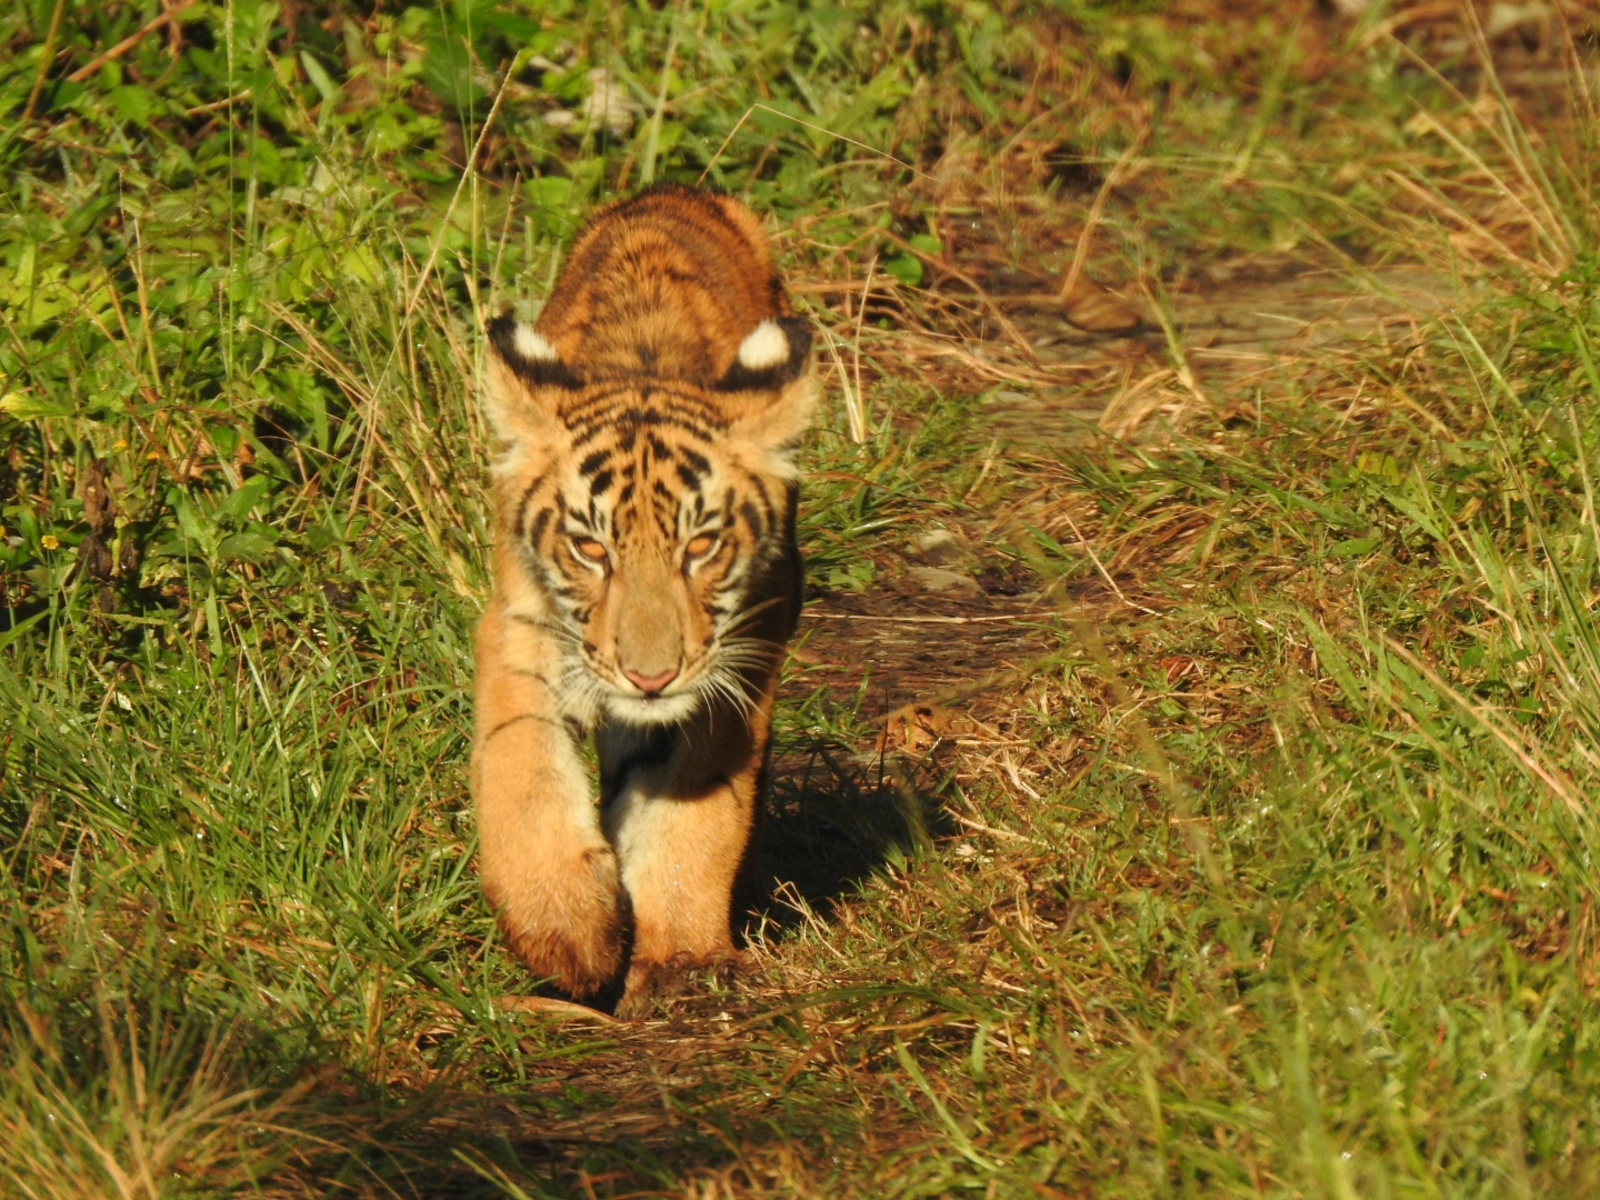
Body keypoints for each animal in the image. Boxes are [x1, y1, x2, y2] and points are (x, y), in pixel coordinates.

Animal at [472, 183, 815, 1016]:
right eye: (592, 550)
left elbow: (696, 808)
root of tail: (678, 189)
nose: (650, 677)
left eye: (701, 546)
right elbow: (519, 770)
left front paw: (684, 964)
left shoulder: (742, 653)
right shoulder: (521, 627)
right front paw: (565, 931)